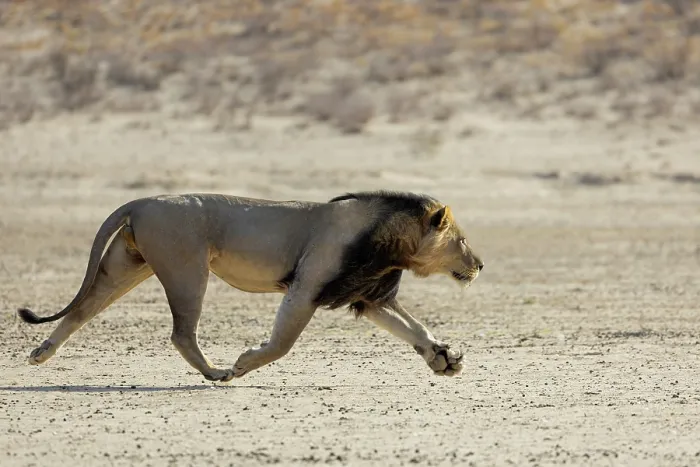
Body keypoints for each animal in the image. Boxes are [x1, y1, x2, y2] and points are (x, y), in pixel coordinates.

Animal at [17, 190, 484, 382]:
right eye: (462, 241)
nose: (479, 264)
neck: (391, 244)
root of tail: (142, 201)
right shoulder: (307, 287)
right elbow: (281, 344)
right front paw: (244, 363)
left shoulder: (366, 296)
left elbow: (413, 328)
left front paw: (443, 359)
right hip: (187, 270)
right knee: (181, 332)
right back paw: (217, 372)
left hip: (126, 266)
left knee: (82, 309)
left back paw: (41, 353)